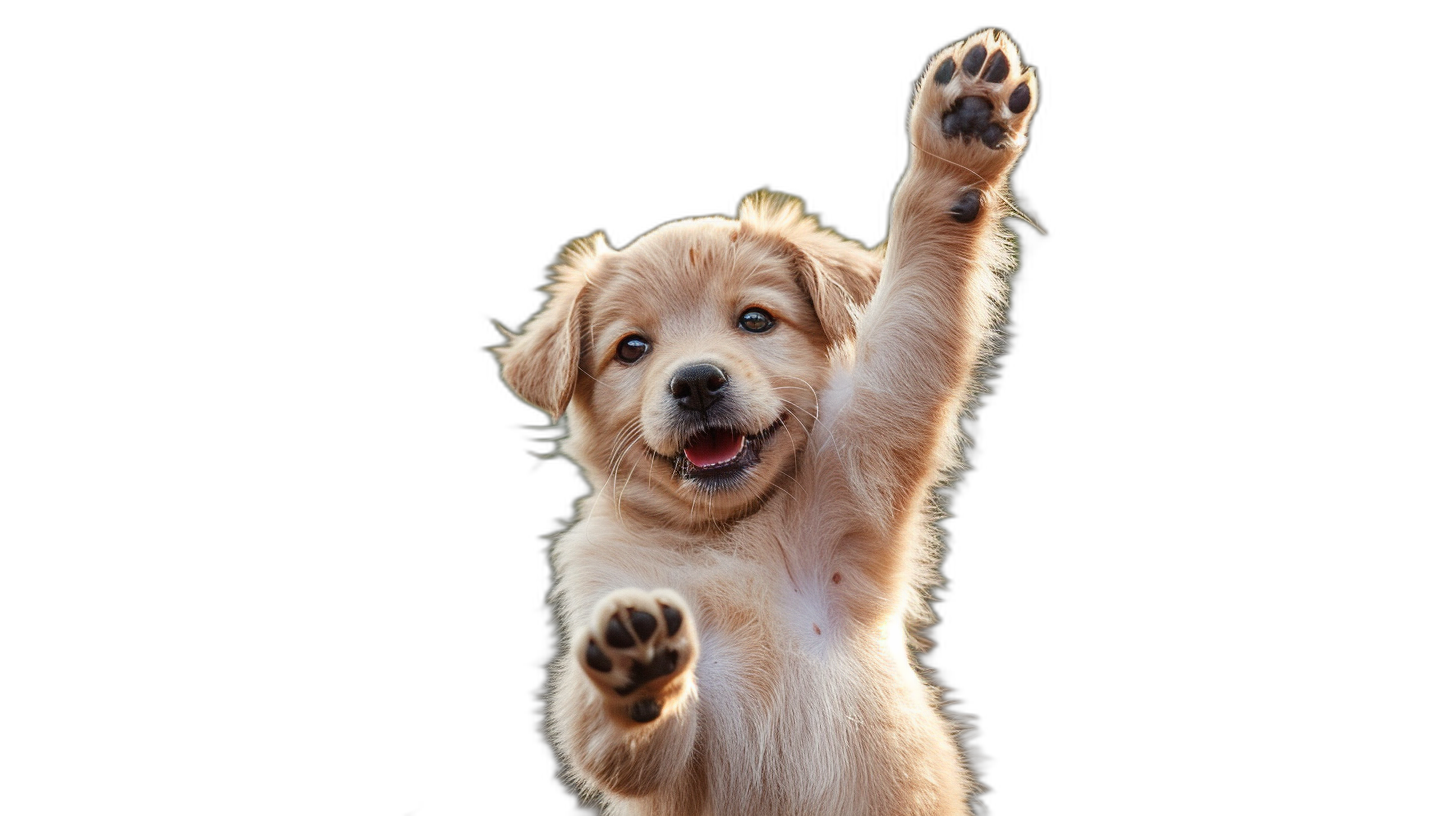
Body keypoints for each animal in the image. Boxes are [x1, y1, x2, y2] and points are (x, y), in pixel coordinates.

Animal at [497, 27, 1036, 816]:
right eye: (632, 348)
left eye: (755, 320)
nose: (696, 382)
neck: (726, 537)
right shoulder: (661, 731)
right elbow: (610, 734)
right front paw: (636, 662)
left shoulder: (872, 439)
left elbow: (916, 304)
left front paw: (961, 130)